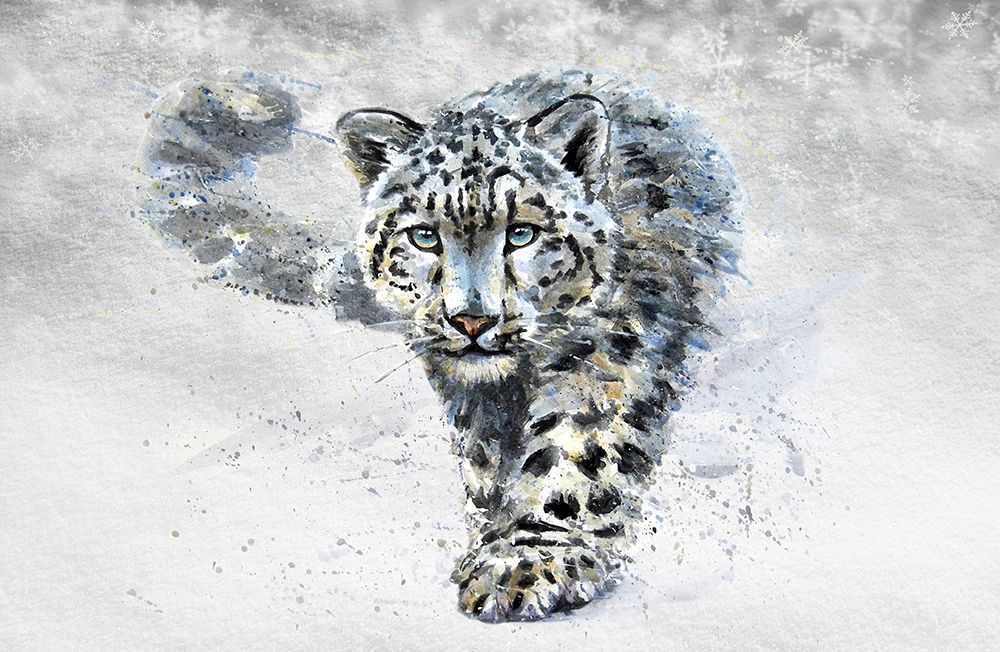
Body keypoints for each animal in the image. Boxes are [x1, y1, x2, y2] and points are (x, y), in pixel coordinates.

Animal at [137, 69, 741, 622]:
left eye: (522, 232)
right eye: (424, 235)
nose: (471, 319)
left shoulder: (605, 359)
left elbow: (576, 453)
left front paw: (525, 558)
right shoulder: (469, 396)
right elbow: (485, 459)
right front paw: (494, 533)